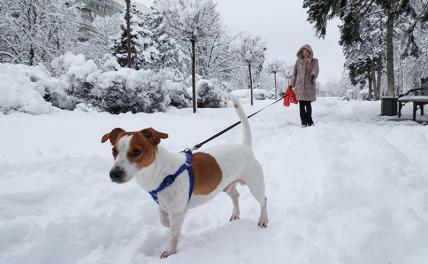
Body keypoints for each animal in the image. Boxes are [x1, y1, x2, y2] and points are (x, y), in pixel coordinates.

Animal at [100, 98, 268, 258]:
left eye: (136, 151)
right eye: (114, 151)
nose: (114, 174)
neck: (161, 173)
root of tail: (245, 147)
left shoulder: (177, 211)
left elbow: (174, 234)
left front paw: (170, 251)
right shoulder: (164, 204)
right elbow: (164, 221)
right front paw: (170, 227)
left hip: (255, 185)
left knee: (263, 200)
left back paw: (263, 220)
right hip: (227, 186)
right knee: (235, 195)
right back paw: (235, 214)